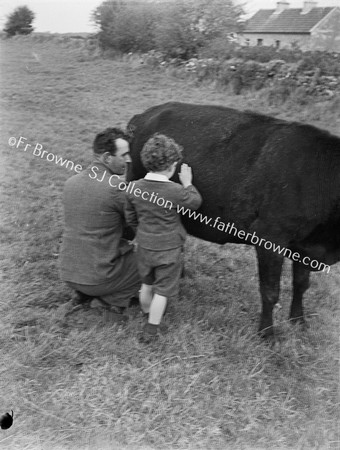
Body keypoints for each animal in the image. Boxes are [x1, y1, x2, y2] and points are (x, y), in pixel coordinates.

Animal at [127, 102, 340, 338]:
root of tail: (145, 115)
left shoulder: (304, 246)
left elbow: (301, 284)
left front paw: (298, 321)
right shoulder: (270, 237)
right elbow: (270, 291)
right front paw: (267, 333)